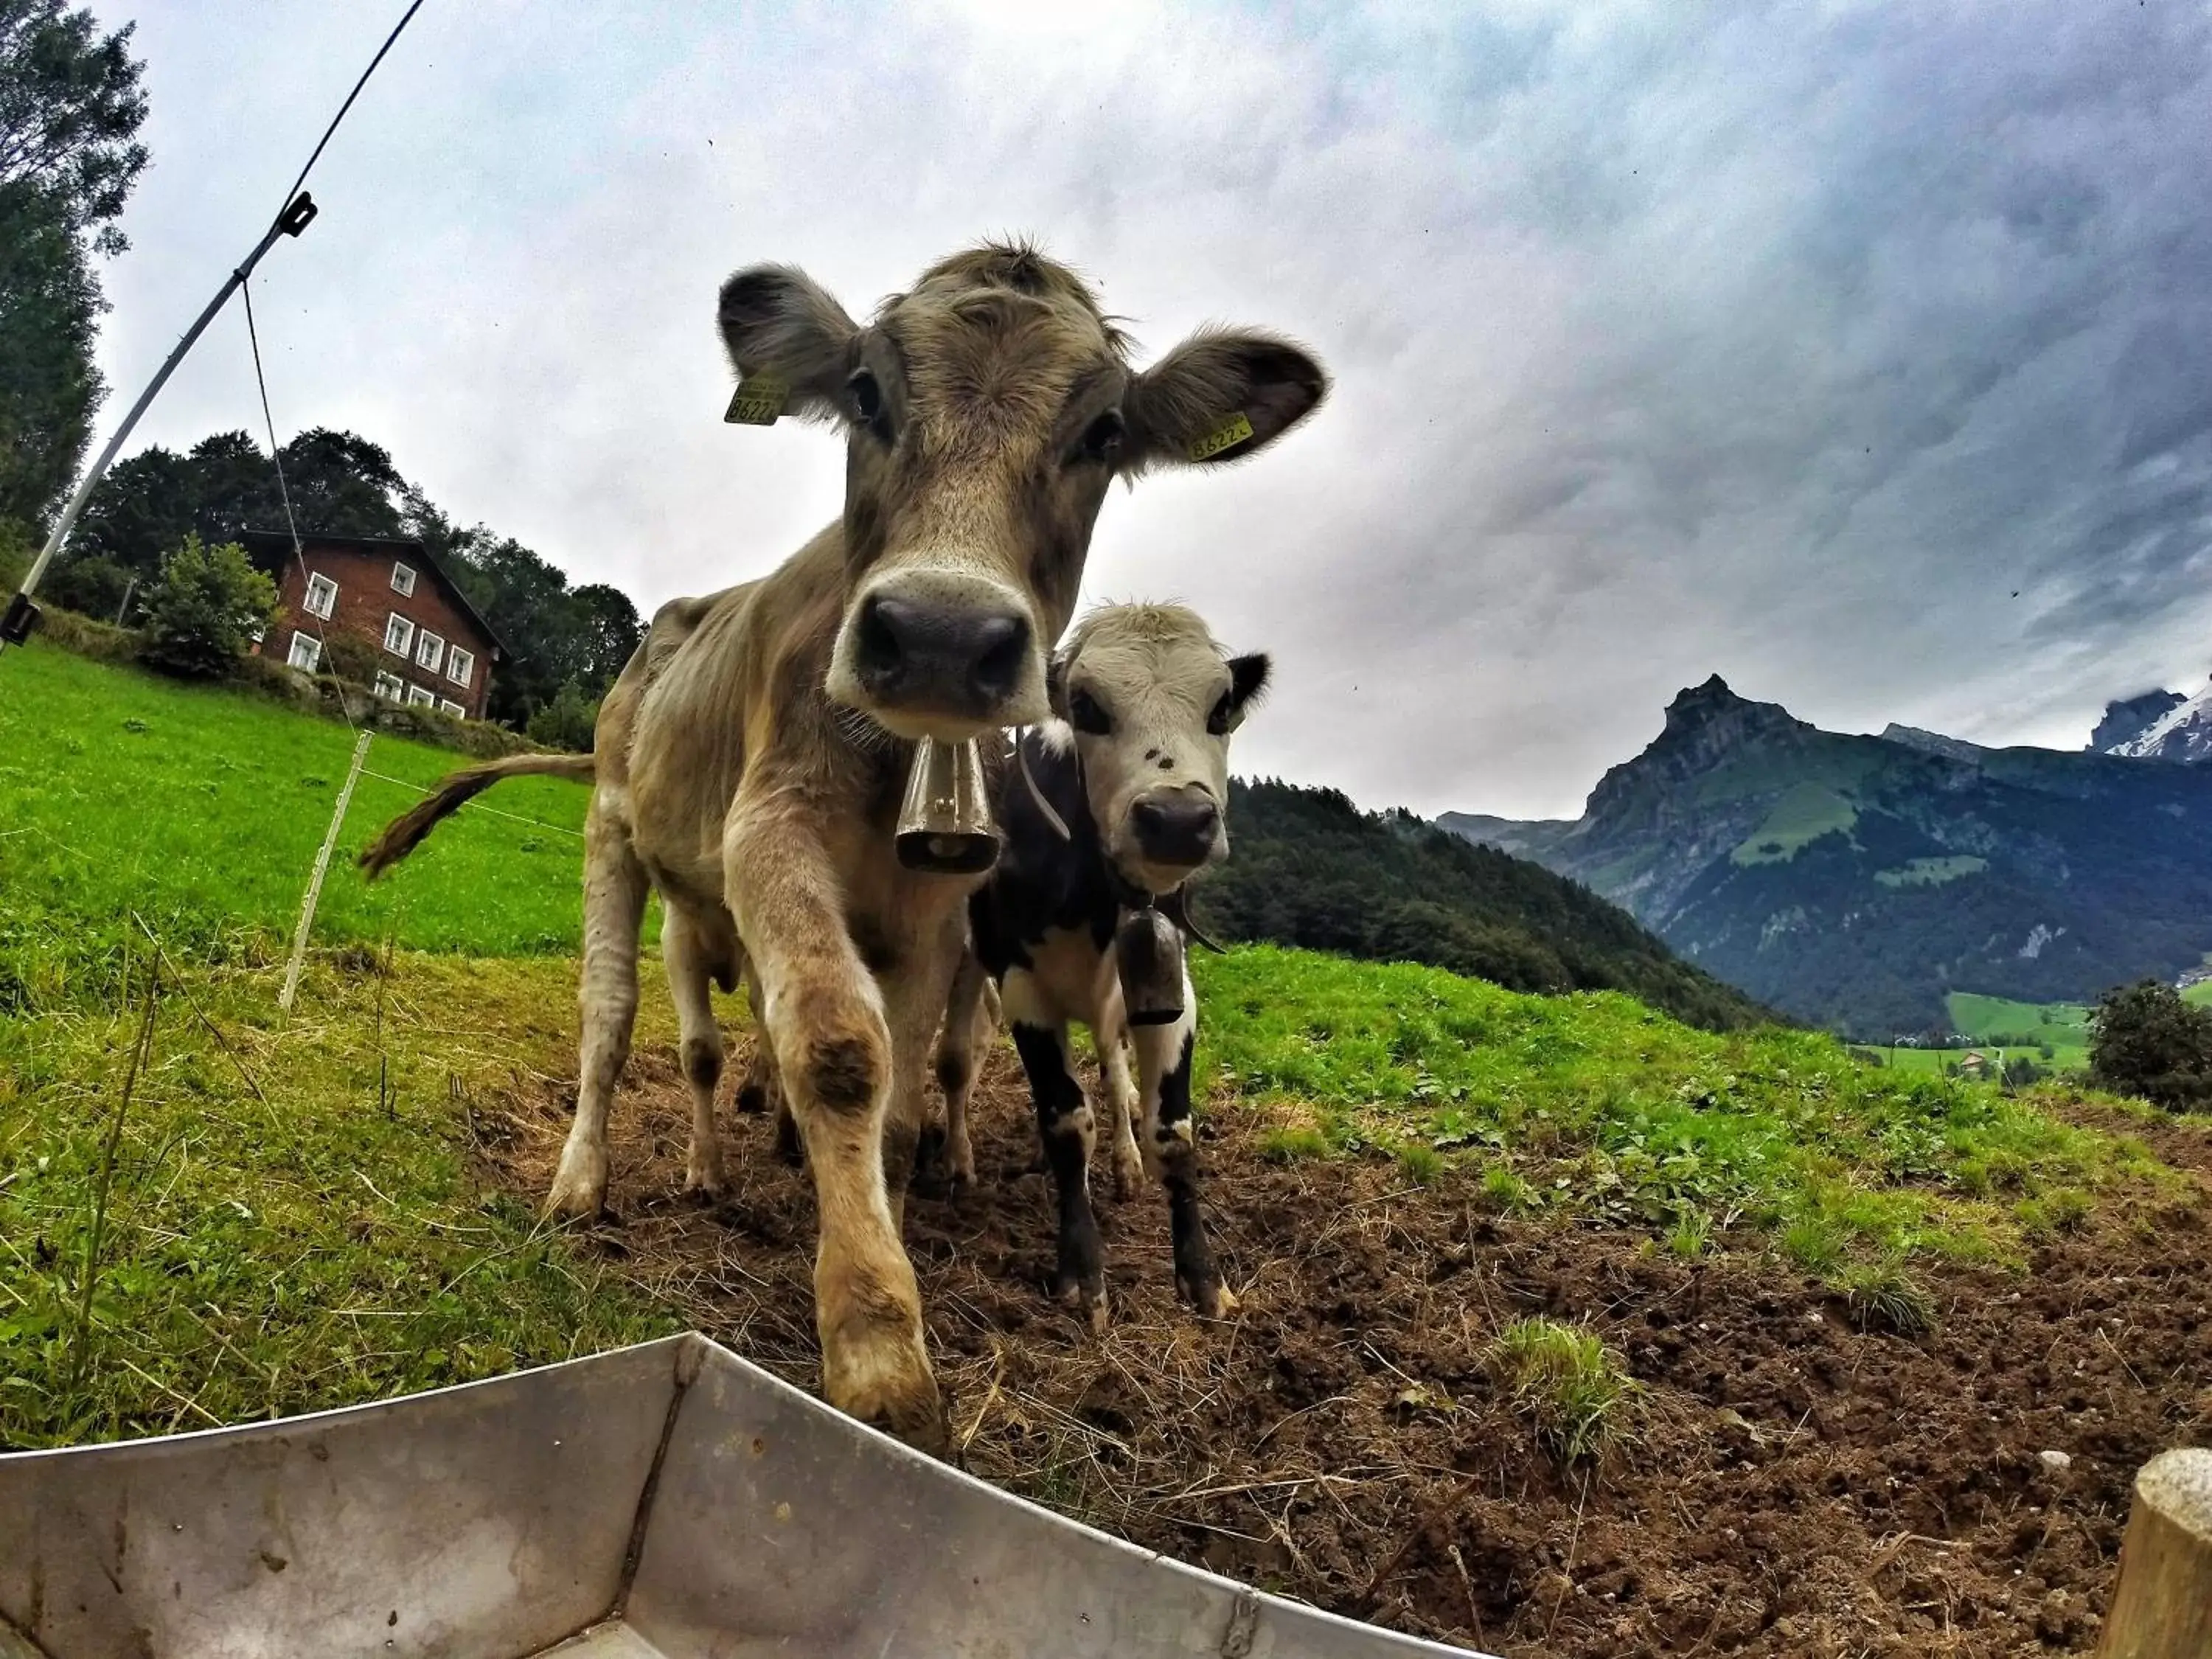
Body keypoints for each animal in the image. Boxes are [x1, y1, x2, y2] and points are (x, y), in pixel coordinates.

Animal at [933, 606, 1274, 1336]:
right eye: (1088, 706)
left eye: (1221, 708)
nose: (1176, 819)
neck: (1097, 894)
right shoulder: (1025, 990)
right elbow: (1066, 1123)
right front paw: (1083, 1276)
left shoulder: (1176, 993)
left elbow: (1173, 1130)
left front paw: (1202, 1281)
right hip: (971, 965)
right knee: (954, 1065)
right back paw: (957, 1161)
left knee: (1115, 1070)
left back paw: (1123, 1163)